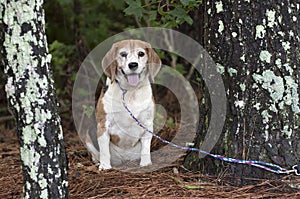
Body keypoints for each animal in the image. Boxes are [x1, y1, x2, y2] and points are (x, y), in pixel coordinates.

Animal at [84, 40, 162, 169]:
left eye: (141, 53)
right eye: (123, 54)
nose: (133, 65)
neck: (130, 91)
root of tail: (125, 159)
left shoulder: (147, 124)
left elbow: (145, 148)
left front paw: (146, 163)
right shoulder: (103, 125)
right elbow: (104, 150)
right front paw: (105, 166)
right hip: (88, 137)